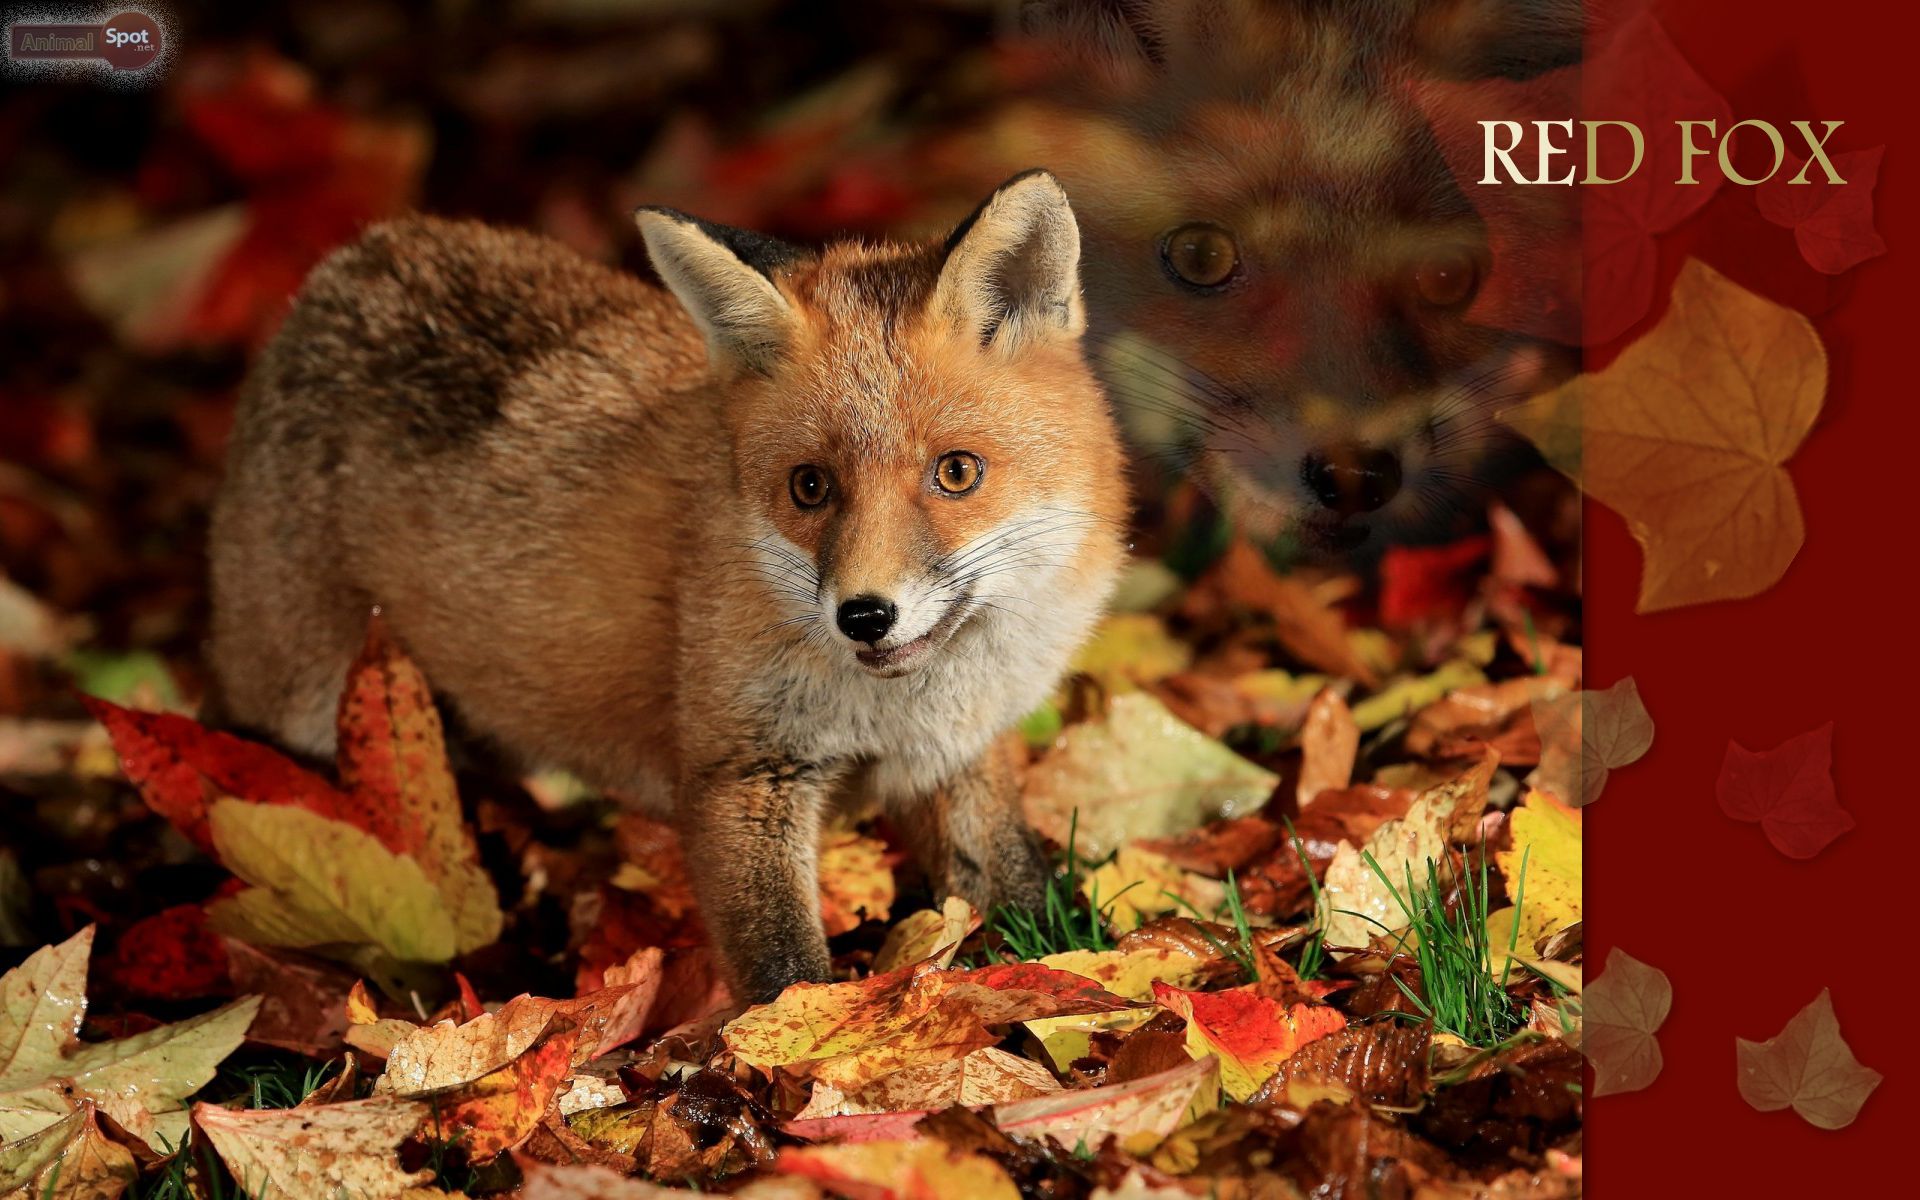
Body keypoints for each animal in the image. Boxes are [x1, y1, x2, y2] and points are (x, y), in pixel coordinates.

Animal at [205, 170, 1128, 1004]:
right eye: (810, 487)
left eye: (957, 472)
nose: (864, 616)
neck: (899, 707)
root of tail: (349, 261)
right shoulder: (740, 775)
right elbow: (781, 971)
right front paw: (789, 1060)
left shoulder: (959, 755)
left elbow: (1020, 889)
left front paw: (1079, 972)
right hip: (303, 714)